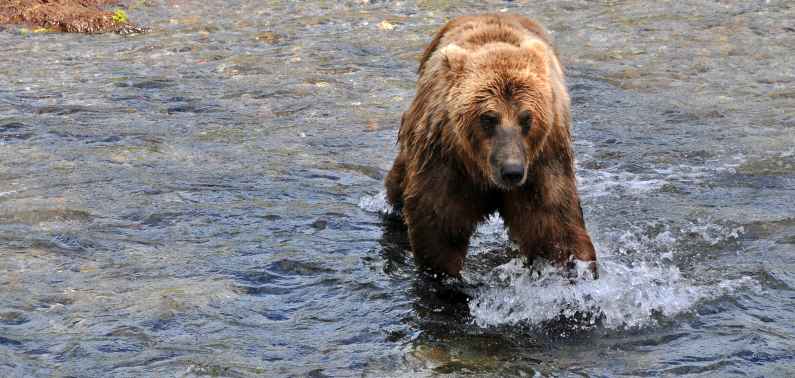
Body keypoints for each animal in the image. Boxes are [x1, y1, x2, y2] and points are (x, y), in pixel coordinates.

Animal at [386, 12, 596, 278]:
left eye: (526, 118)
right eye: (488, 118)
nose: (512, 171)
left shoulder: (542, 162)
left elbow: (554, 226)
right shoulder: (447, 160)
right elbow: (439, 225)